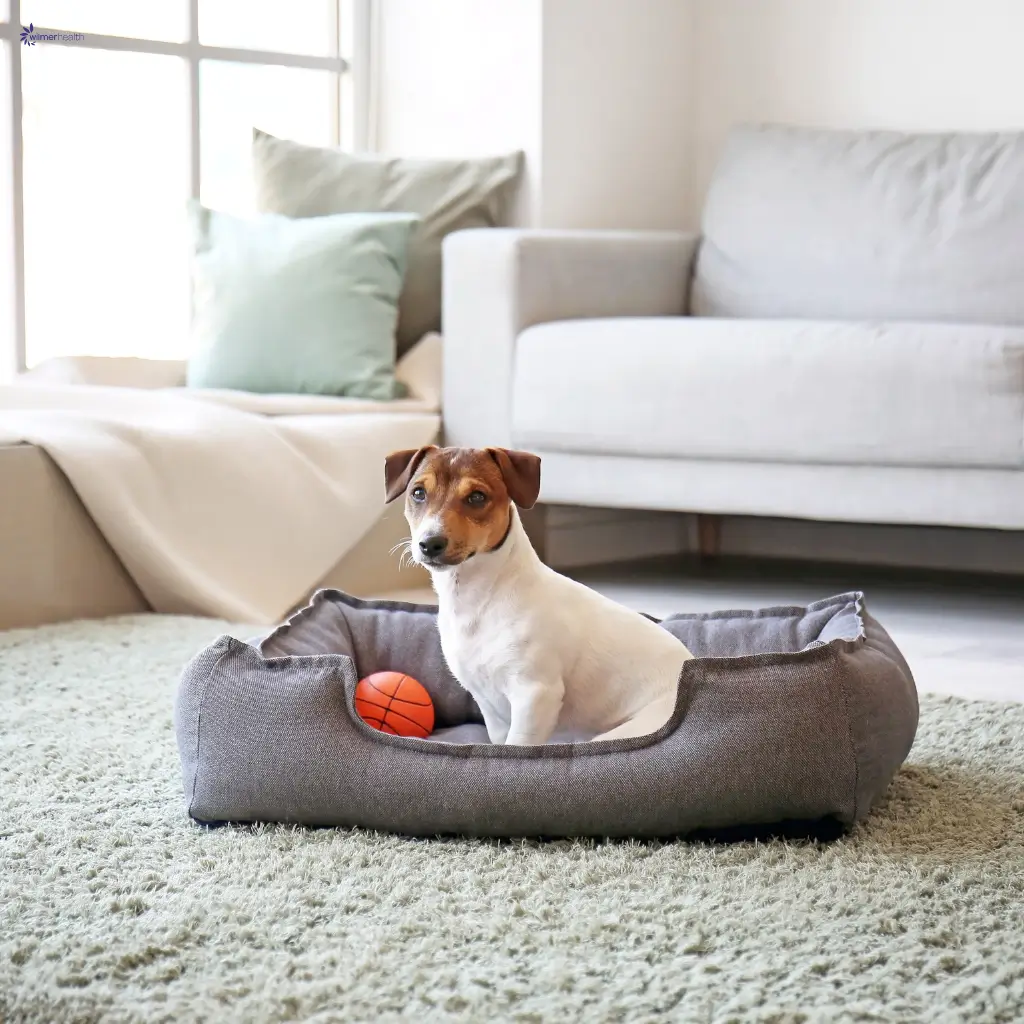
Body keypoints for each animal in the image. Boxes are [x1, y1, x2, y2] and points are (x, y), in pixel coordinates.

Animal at [385, 442, 696, 745]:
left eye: (476, 497)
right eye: (418, 493)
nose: (429, 543)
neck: (479, 599)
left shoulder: (535, 695)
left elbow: (517, 746)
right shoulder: (490, 706)